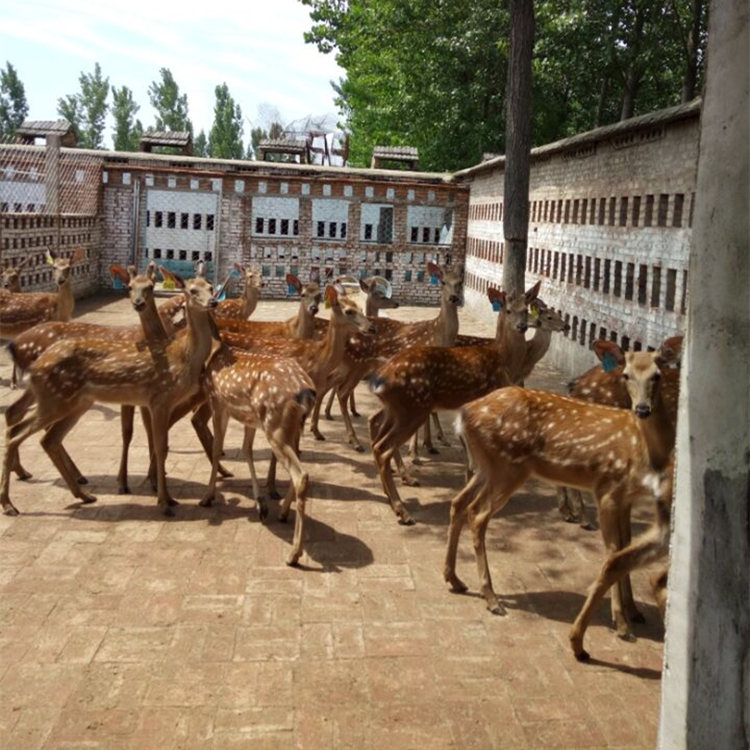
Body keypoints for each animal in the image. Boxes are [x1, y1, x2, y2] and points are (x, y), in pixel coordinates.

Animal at [1, 274, 220, 520]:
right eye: (192, 290)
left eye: (210, 286)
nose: (213, 302)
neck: (182, 358)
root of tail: (35, 364)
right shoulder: (159, 398)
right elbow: (160, 446)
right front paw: (164, 503)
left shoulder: (159, 402)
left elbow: (158, 444)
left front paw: (169, 498)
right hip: (53, 399)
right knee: (18, 431)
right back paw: (9, 504)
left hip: (74, 402)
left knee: (46, 438)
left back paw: (83, 495)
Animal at [368, 282, 536, 524]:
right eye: (508, 310)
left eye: (526, 309)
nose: (522, 326)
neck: (503, 361)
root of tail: (380, 375)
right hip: (413, 408)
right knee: (383, 448)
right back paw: (402, 510)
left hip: (396, 409)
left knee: (376, 434)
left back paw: (392, 496)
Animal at [446, 344, 680, 644]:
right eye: (626, 375)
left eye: (657, 375)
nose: (642, 409)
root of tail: (463, 415)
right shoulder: (608, 487)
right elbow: (613, 551)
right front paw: (622, 624)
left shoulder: (628, 496)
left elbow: (625, 545)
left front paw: (634, 612)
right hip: (507, 468)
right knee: (477, 514)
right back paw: (492, 599)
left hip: (487, 468)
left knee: (458, 502)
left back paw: (455, 579)